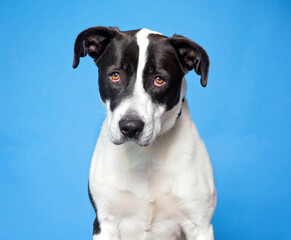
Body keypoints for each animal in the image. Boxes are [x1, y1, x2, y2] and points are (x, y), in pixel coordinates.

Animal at [73, 26, 217, 240]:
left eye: (159, 80)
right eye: (115, 75)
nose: (130, 127)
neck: (146, 156)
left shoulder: (200, 226)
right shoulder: (104, 223)